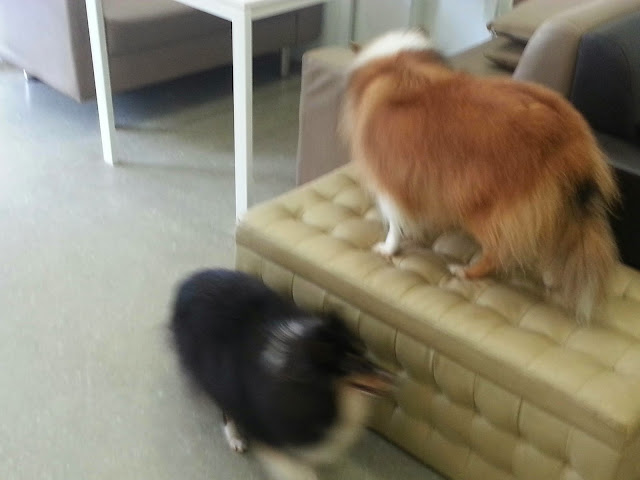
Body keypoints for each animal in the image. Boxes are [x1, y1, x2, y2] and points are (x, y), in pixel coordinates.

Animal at [170, 269, 393, 480]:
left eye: (363, 353)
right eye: (354, 364)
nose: (392, 379)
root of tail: (187, 282)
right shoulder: (266, 429)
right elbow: (294, 467)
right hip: (213, 371)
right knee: (225, 406)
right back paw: (235, 439)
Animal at [340, 30, 619, 323]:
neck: (394, 64)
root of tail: (569, 134)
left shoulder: (388, 181)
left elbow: (394, 223)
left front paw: (387, 249)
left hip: (481, 203)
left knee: (498, 250)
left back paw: (466, 271)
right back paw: (550, 277)